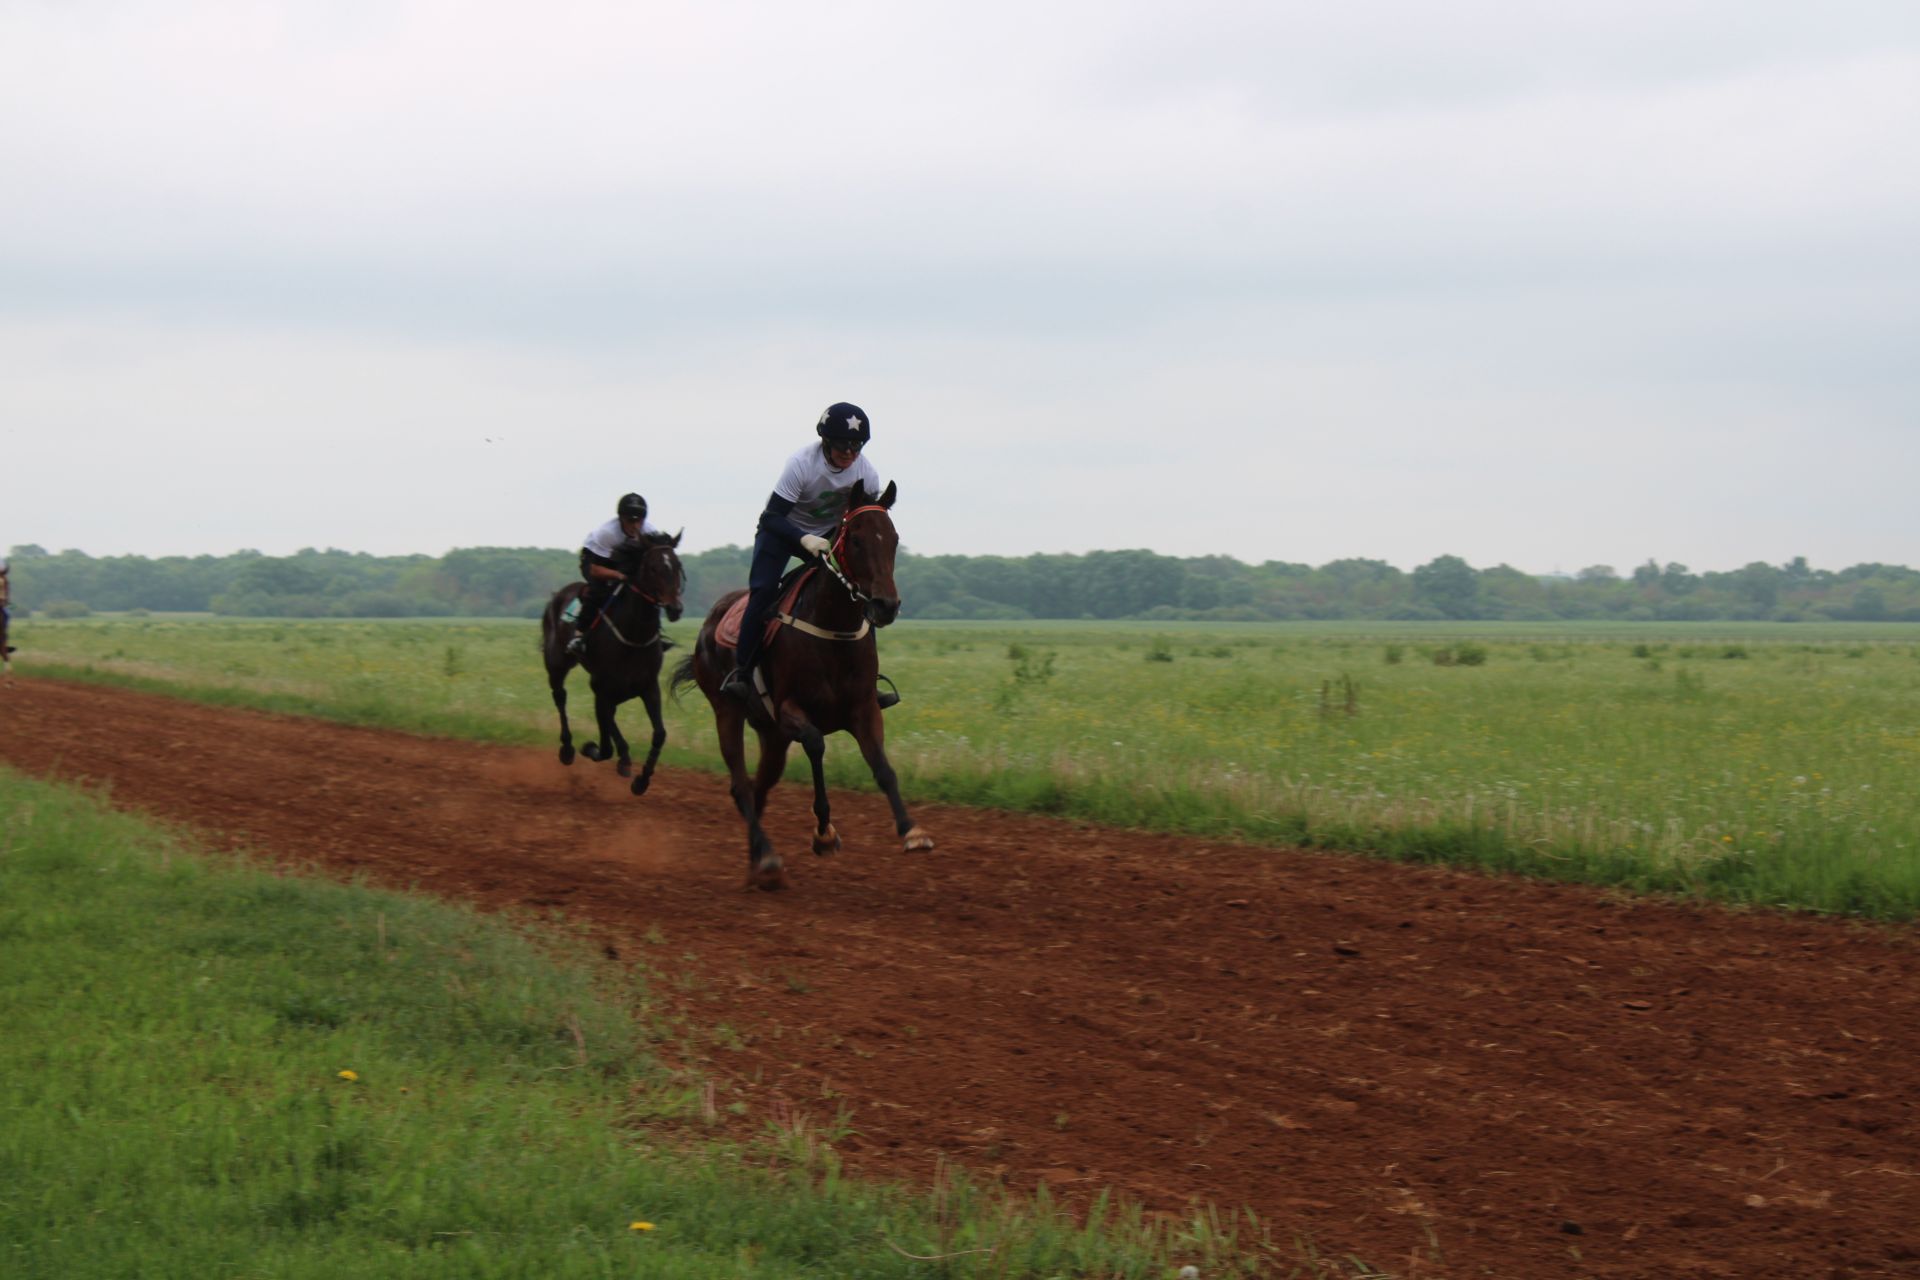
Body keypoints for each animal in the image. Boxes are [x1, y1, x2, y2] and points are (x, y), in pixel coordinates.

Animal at [537, 529, 687, 790]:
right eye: (653, 568)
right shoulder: (601, 686)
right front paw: (592, 748)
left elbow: (659, 733)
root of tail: (559, 595)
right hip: (557, 663)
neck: (634, 634)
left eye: (677, 565)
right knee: (560, 697)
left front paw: (642, 779)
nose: (674, 608)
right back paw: (567, 748)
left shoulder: (648, 686)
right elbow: (605, 743)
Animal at [672, 479, 933, 890]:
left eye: (893, 538)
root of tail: (711, 619)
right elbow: (815, 744)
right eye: (856, 539)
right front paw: (824, 833)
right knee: (741, 784)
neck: (832, 628)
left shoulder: (864, 709)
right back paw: (765, 857)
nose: (885, 605)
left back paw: (758, 861)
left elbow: (883, 768)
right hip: (727, 712)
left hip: (771, 736)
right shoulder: (790, 710)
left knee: (758, 788)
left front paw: (912, 830)